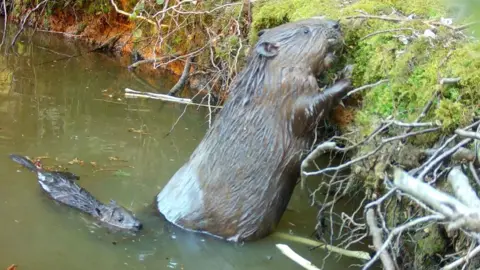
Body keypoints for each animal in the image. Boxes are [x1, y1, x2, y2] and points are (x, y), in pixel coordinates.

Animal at [157, 16, 352, 242]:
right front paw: (347, 75)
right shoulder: (288, 94)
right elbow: (311, 109)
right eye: (305, 30)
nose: (336, 24)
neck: (266, 79)